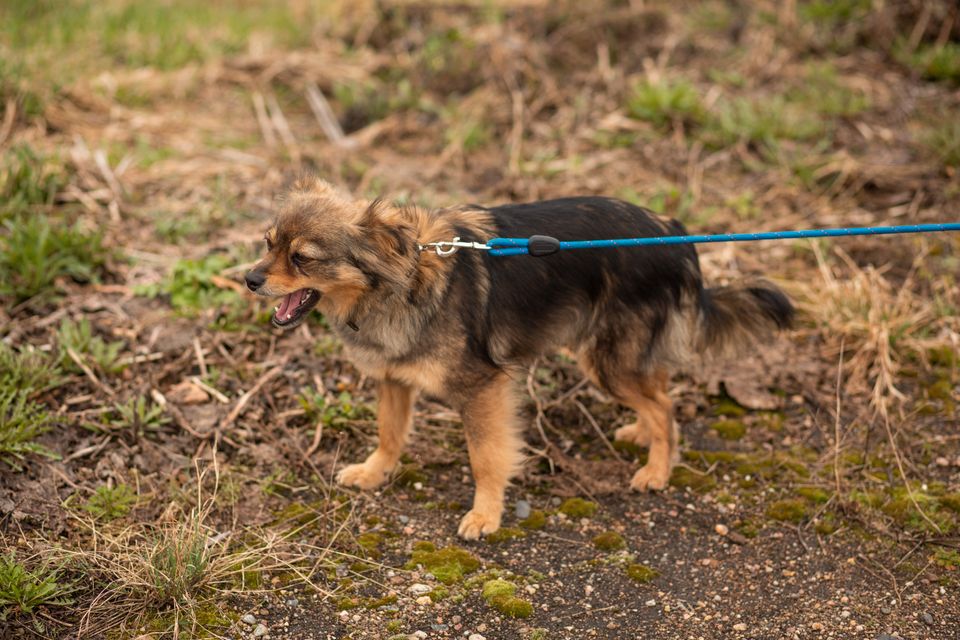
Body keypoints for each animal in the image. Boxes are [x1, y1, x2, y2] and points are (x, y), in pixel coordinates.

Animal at [248, 179, 796, 540]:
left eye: (302, 258)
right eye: (268, 243)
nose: (249, 279)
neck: (396, 283)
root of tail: (673, 233)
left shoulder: (482, 388)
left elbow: (486, 456)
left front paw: (486, 515)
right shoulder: (393, 379)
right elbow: (389, 433)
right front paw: (374, 472)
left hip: (606, 359)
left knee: (665, 407)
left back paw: (657, 470)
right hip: (618, 356)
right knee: (656, 389)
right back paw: (641, 434)